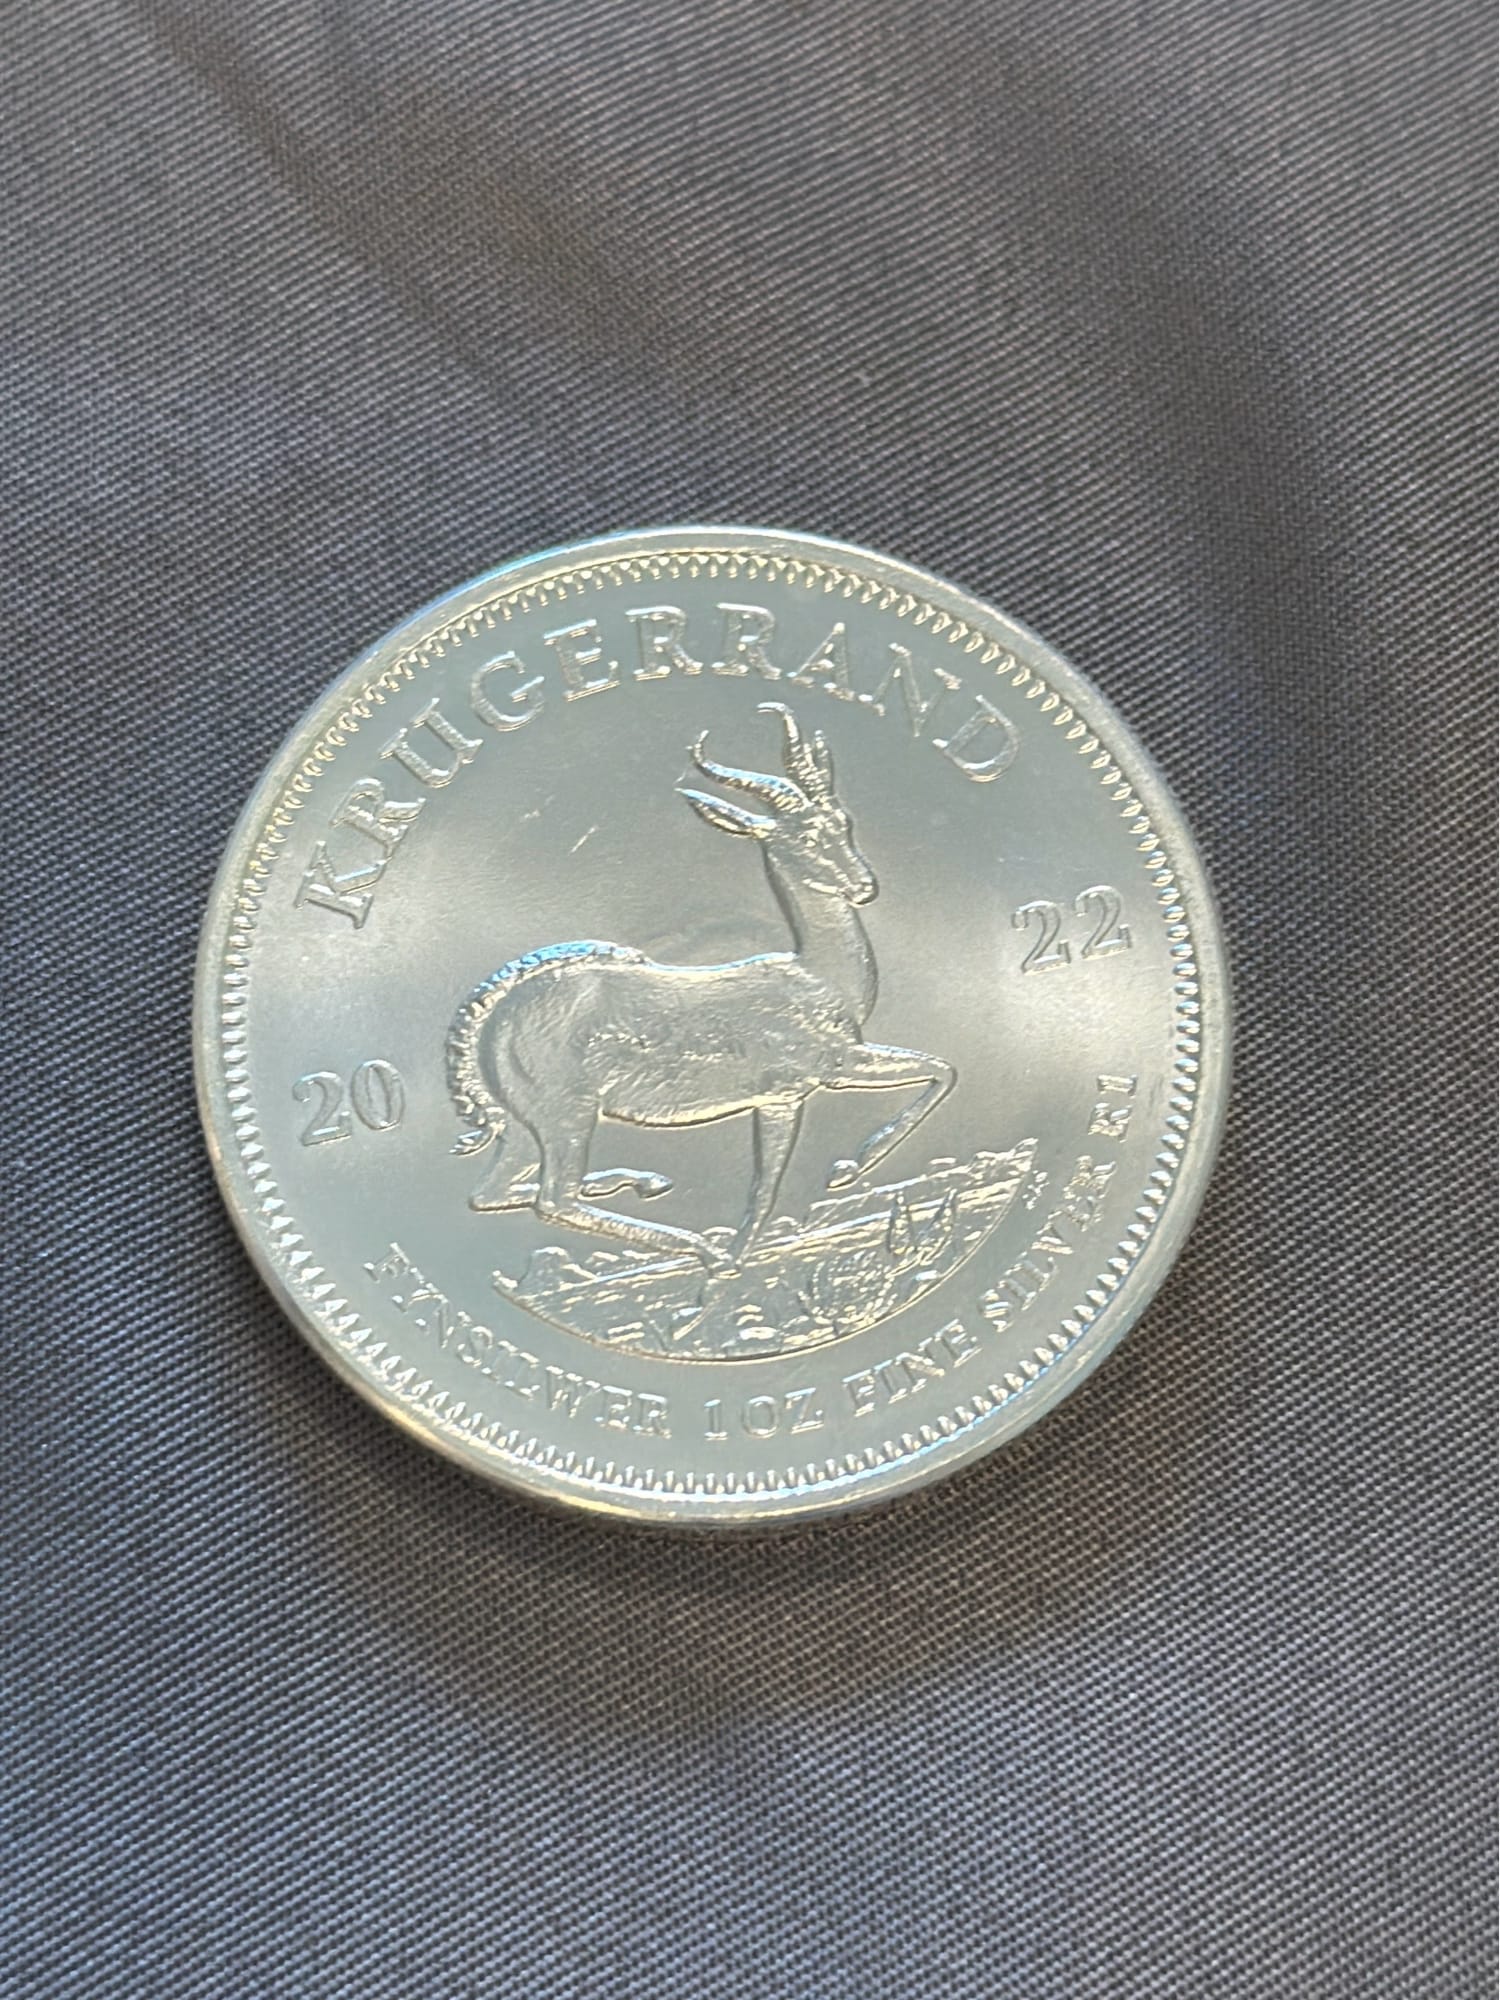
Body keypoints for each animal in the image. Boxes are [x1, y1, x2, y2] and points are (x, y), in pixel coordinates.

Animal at [446, 702, 955, 1272]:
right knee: (554, 1199)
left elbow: (765, 1187)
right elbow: (940, 1070)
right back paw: (697, 1245)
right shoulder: (828, 1073)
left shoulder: (780, 1099)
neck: (820, 978)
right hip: (567, 1115)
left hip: (524, 1127)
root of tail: (494, 1020)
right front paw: (846, 1170)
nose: (865, 885)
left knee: (491, 1193)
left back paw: (645, 1184)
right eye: (803, 836)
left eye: (842, 821)